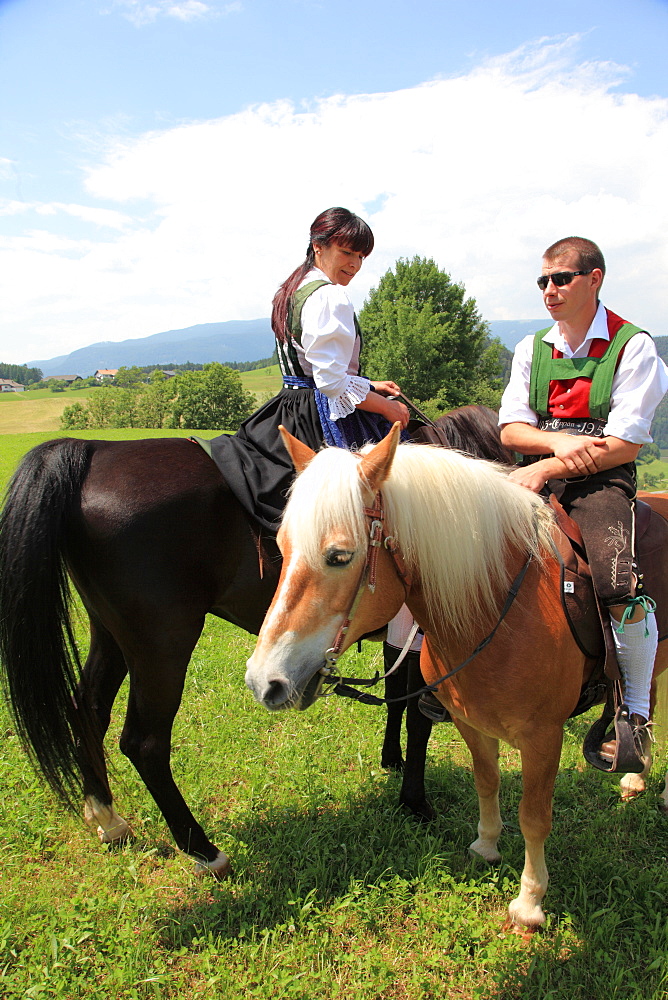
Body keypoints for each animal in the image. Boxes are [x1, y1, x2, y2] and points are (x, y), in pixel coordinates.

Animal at [247, 426, 668, 932]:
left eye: (339, 556)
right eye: (282, 547)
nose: (264, 682)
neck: (502, 605)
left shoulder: (543, 738)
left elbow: (534, 816)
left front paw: (529, 902)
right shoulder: (470, 721)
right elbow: (486, 781)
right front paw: (486, 846)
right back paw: (634, 771)